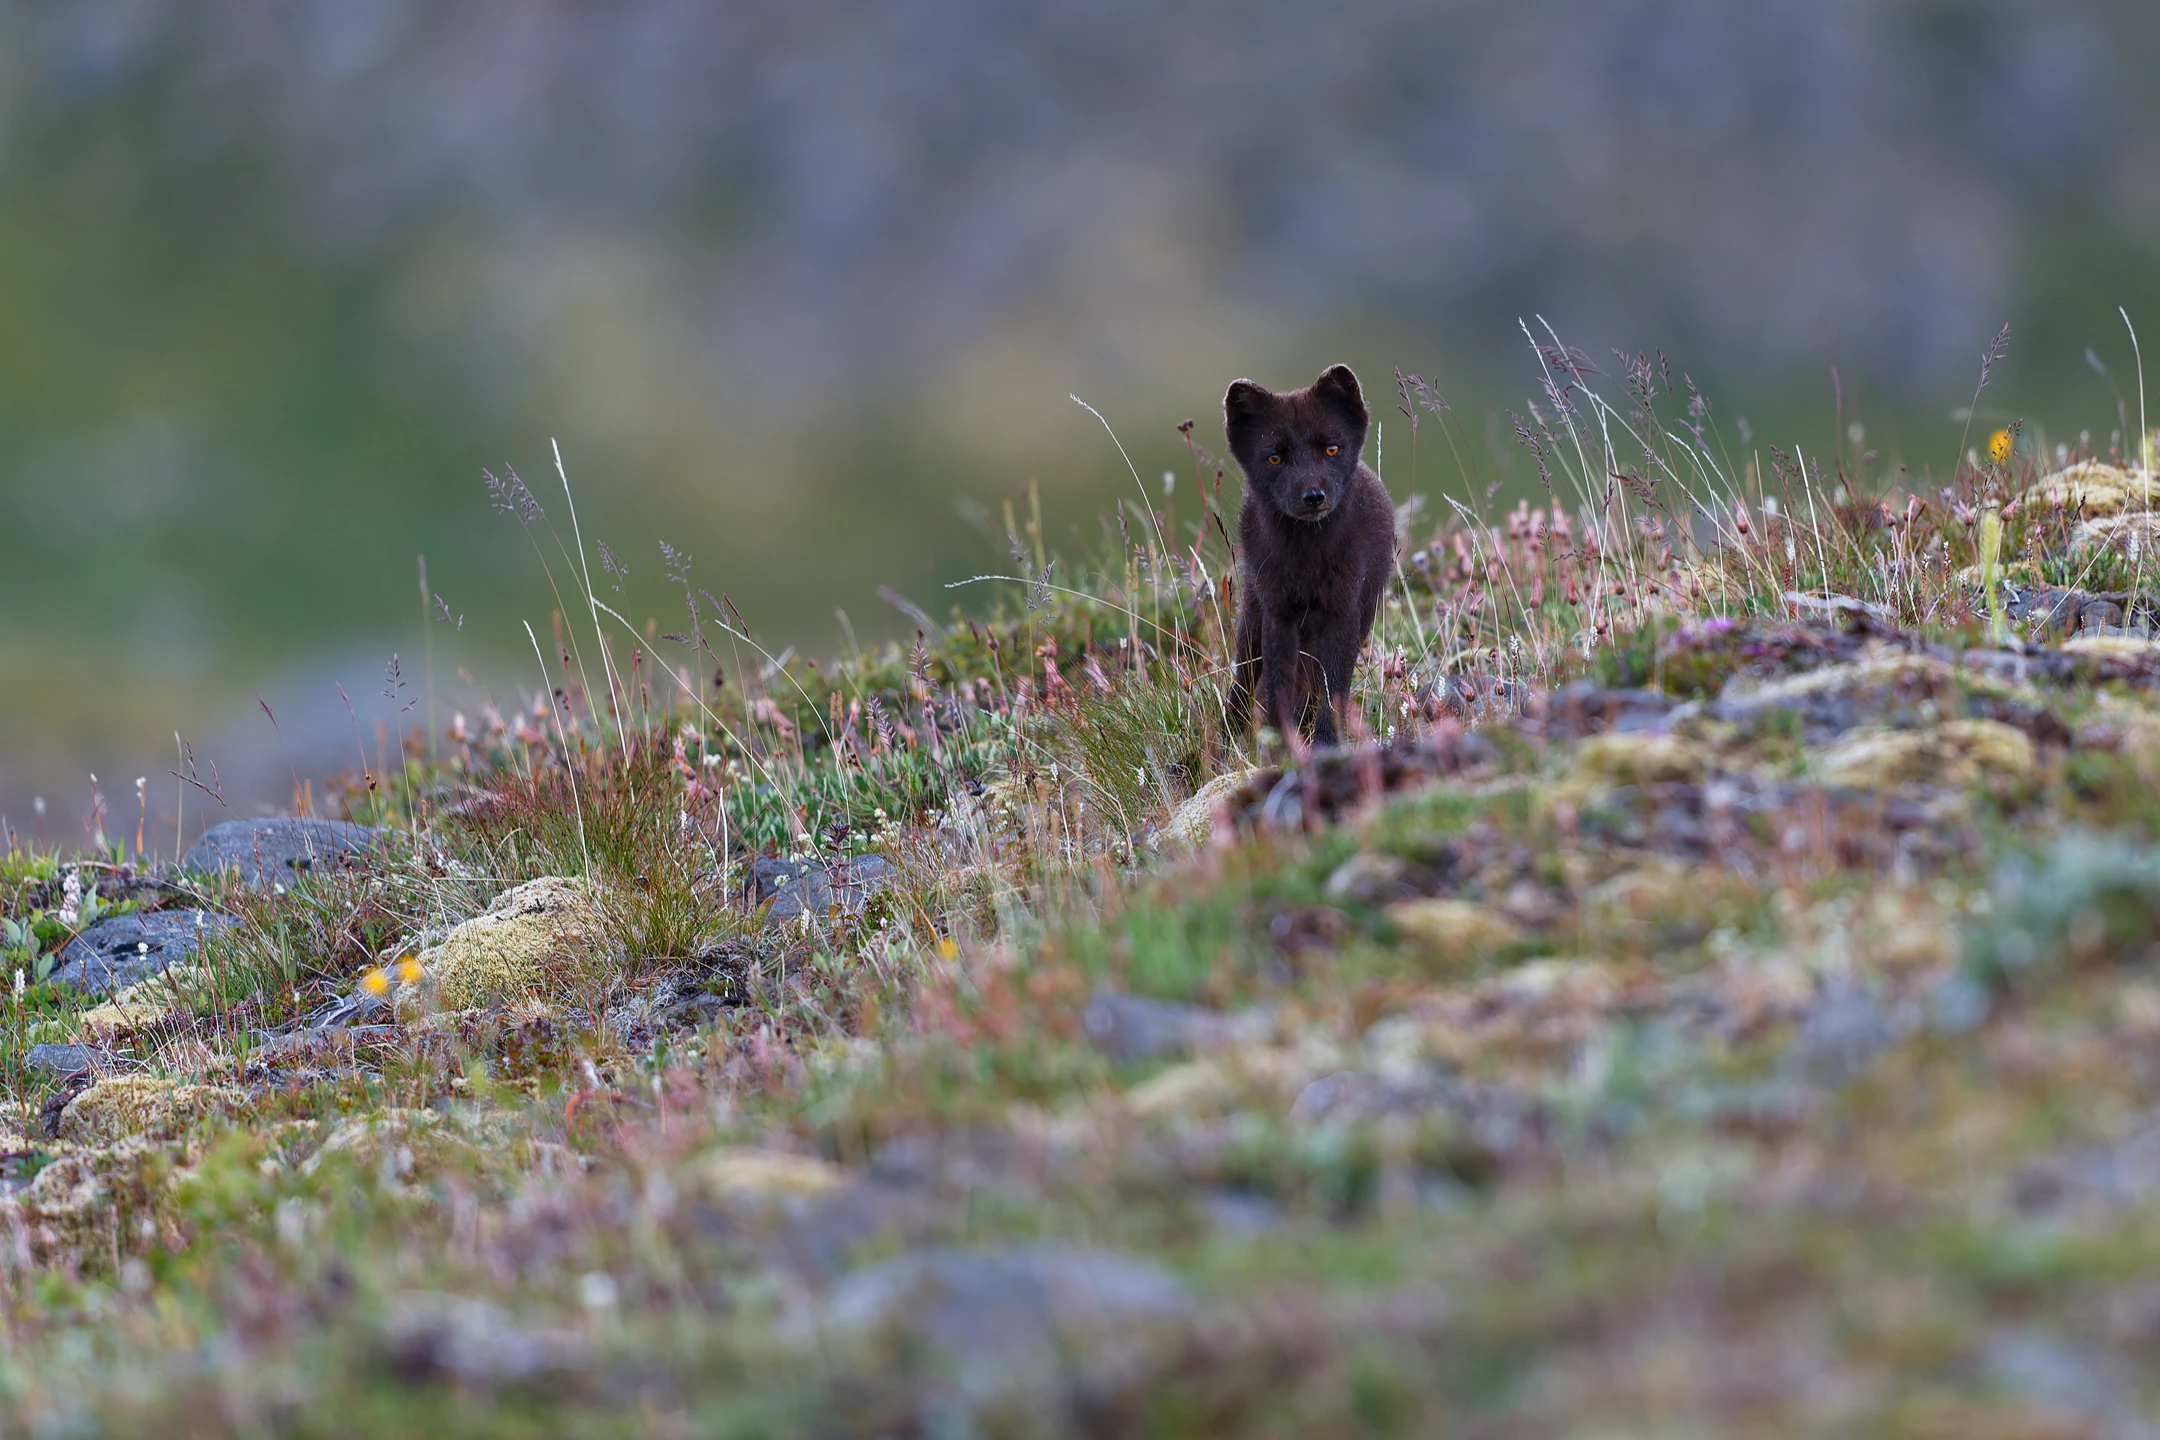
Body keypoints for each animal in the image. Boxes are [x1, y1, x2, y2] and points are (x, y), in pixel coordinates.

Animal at [1223, 363, 1398, 749]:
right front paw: (1282, 745)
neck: (1306, 562)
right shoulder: (1278, 613)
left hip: (1362, 618)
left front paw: (1325, 746)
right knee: (1244, 681)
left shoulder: (1343, 612)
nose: (1313, 496)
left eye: (1332, 449)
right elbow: (1278, 686)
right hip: (1253, 616)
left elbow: (1333, 692)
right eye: (1275, 457)